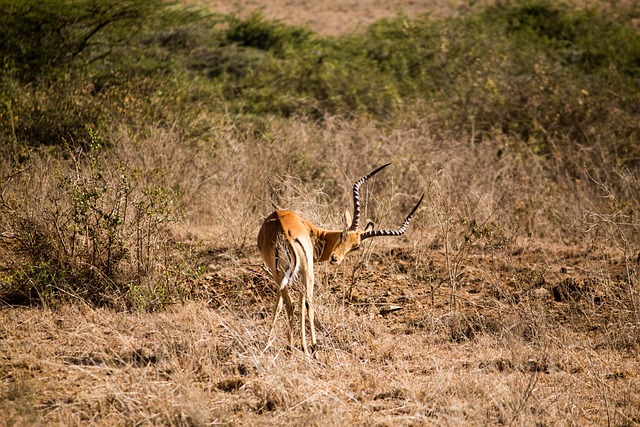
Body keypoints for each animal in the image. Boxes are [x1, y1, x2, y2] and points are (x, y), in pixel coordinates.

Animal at [257, 163, 424, 356]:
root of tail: (286, 232)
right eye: (343, 235)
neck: (310, 230)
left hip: (293, 274)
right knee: (303, 305)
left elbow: (282, 304)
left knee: (296, 305)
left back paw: (300, 348)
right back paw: (307, 347)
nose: (335, 258)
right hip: (298, 274)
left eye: (356, 246)